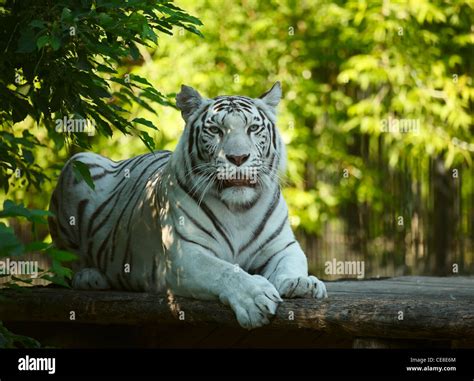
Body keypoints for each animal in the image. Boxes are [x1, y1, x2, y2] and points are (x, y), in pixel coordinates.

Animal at [50, 81, 328, 328]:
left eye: (253, 128)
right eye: (215, 130)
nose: (238, 158)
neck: (239, 210)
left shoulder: (282, 247)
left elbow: (290, 264)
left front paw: (301, 283)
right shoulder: (183, 254)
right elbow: (224, 271)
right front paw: (255, 298)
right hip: (78, 164)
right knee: (65, 264)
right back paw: (90, 277)